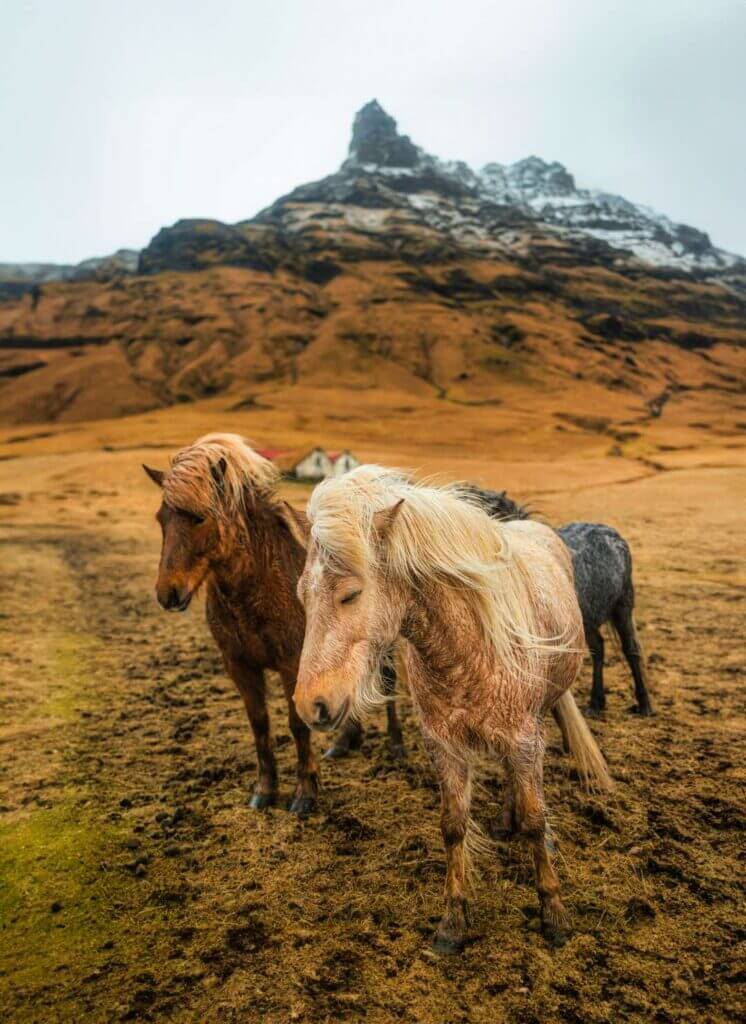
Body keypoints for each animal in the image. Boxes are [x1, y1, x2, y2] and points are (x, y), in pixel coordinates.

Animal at [143, 436, 319, 811]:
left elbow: (297, 724)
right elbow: (259, 725)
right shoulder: (239, 665)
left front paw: (305, 793)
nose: (168, 593)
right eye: (161, 519)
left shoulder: (291, 664)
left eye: (199, 518)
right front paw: (264, 790)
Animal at [288, 468, 609, 954]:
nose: (311, 704)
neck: (468, 646)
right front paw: (452, 922)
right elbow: (453, 826)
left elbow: (536, 821)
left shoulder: (521, 737)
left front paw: (554, 914)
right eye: (302, 596)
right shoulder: (444, 746)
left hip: (538, 717)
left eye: (351, 595)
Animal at [327, 487, 650, 761]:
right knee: (599, 649)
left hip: (623, 607)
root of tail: (611, 533)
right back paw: (596, 703)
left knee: (631, 650)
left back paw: (644, 705)